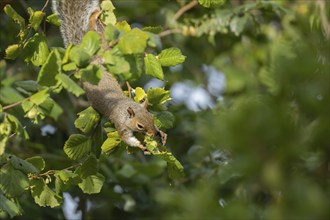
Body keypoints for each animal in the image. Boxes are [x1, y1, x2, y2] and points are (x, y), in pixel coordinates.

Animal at [51, 0, 168, 154]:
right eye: (140, 126)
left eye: (152, 117)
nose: (153, 133)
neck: (126, 109)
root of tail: (91, 62)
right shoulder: (120, 123)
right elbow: (127, 138)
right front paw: (141, 145)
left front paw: (161, 133)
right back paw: (95, 17)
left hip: (103, 47)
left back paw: (95, 16)